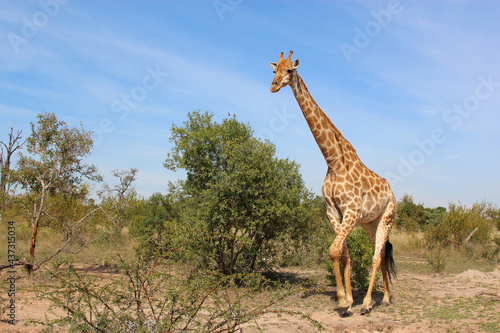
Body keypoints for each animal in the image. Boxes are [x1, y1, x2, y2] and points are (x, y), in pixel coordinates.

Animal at [272, 50, 396, 316]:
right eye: (274, 70)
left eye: (290, 70)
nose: (273, 86)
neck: (333, 161)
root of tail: (392, 191)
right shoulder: (333, 211)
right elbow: (343, 254)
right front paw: (347, 301)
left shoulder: (351, 209)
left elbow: (334, 250)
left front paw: (344, 301)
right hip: (371, 222)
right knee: (381, 254)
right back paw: (386, 298)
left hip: (388, 217)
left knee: (375, 256)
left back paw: (368, 303)